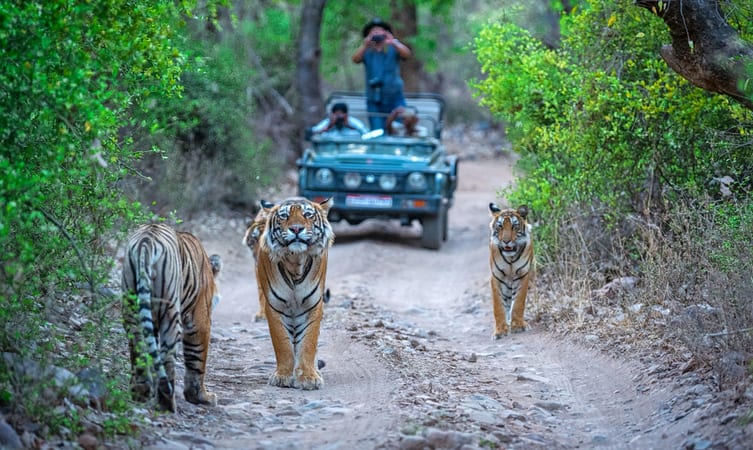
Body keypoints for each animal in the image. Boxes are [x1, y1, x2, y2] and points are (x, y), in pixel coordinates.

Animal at [120, 222, 220, 412]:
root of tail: (146, 241)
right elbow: (197, 359)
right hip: (170, 314)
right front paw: (201, 397)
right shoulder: (200, 319)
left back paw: (141, 393)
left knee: (139, 348)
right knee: (167, 358)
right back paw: (167, 403)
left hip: (131, 309)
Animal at [254, 197, 334, 390]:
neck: (295, 261)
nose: (296, 229)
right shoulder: (274, 307)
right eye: (284, 216)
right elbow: (282, 343)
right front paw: (283, 376)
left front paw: (308, 377)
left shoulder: (313, 305)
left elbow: (309, 342)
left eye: (308, 215)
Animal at [484, 203, 532, 338]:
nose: (506, 241)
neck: (510, 258)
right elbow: (498, 306)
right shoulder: (496, 277)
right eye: (500, 226)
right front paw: (500, 331)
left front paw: (518, 326)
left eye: (514, 226)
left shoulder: (522, 275)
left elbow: (518, 303)